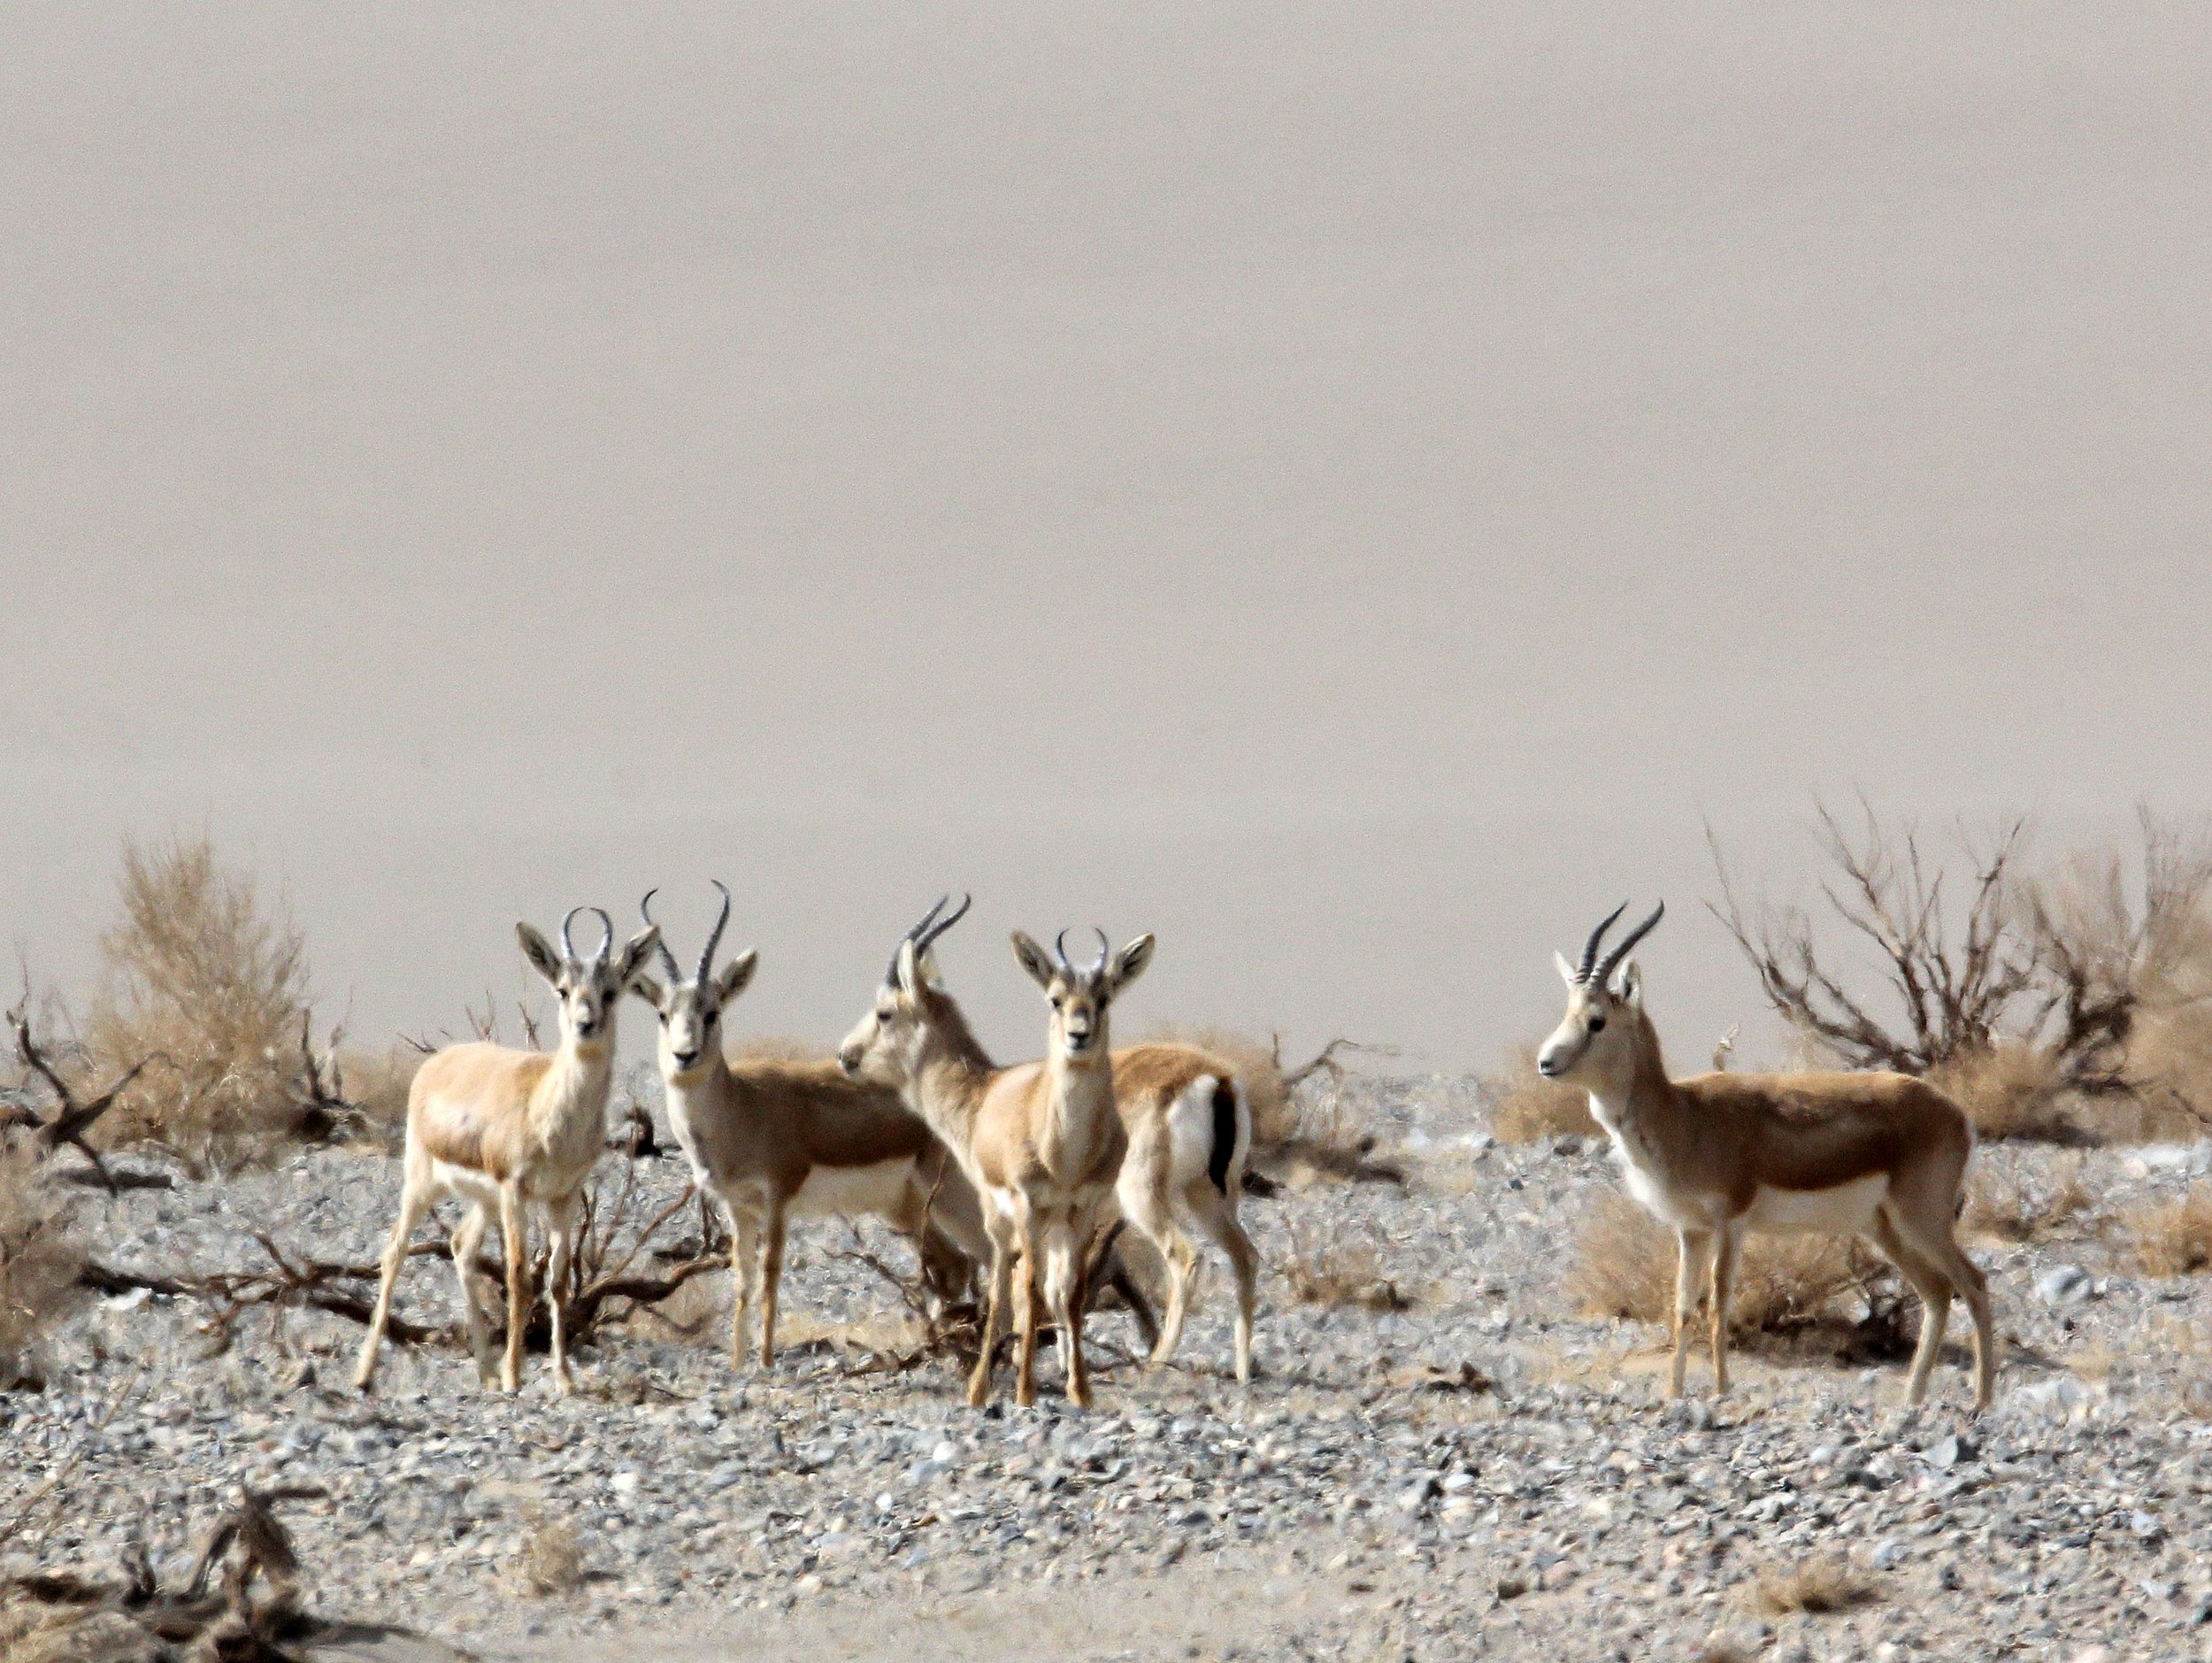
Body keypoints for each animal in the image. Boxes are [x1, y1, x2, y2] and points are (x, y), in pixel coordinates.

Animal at [356, 907, 661, 1395]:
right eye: (563, 989)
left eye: (610, 991)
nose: (585, 1025)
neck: (548, 1105)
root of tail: (437, 1062)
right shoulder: (515, 1190)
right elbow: (518, 1276)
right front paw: (515, 1375)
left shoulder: (563, 1197)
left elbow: (558, 1281)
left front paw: (563, 1378)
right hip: (424, 1184)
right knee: (395, 1250)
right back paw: (365, 1374)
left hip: (484, 1199)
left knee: (461, 1247)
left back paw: (485, 1372)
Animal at [627, 882, 991, 1371]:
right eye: (663, 1013)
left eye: (712, 1011)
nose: (685, 1056)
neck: (741, 1107)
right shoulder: (737, 1207)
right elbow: (743, 1280)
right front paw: (738, 1362)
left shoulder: (779, 1199)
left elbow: (770, 1275)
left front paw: (764, 1360)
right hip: (906, 1207)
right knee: (956, 1265)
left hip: (956, 1199)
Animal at [839, 898, 1259, 1407]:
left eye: (884, 1013)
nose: (846, 1055)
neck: (984, 1095)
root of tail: (1216, 1079)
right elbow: (1060, 1291)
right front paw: (1062, 1371)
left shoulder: (1011, 1214)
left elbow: (1021, 1291)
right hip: (1210, 1193)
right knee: (1245, 1257)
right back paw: (1243, 1371)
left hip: (1146, 1198)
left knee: (1185, 1257)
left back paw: (1157, 1362)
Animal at [1538, 902, 1995, 1409]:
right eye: (1568, 1012)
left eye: (1597, 1020)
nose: (1546, 1062)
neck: (1685, 1116)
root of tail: (1956, 1113)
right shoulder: (1691, 1230)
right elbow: (1682, 1307)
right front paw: (1675, 1394)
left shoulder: (1730, 1223)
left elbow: (1719, 1304)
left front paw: (1721, 1391)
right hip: (1885, 1227)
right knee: (1937, 1292)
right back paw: (1910, 1402)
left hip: (1923, 1220)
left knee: (1974, 1284)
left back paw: (1981, 1402)